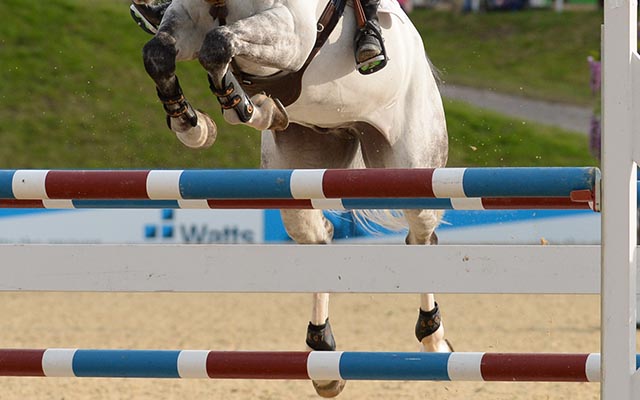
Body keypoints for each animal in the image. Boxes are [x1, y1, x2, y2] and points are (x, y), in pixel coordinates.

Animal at [135, 0, 450, 396]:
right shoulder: (186, 20)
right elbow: (159, 53)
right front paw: (193, 125)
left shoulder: (292, 34)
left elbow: (218, 45)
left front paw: (243, 105)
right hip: (302, 167)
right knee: (318, 238)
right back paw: (323, 354)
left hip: (413, 170)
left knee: (421, 237)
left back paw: (434, 339)